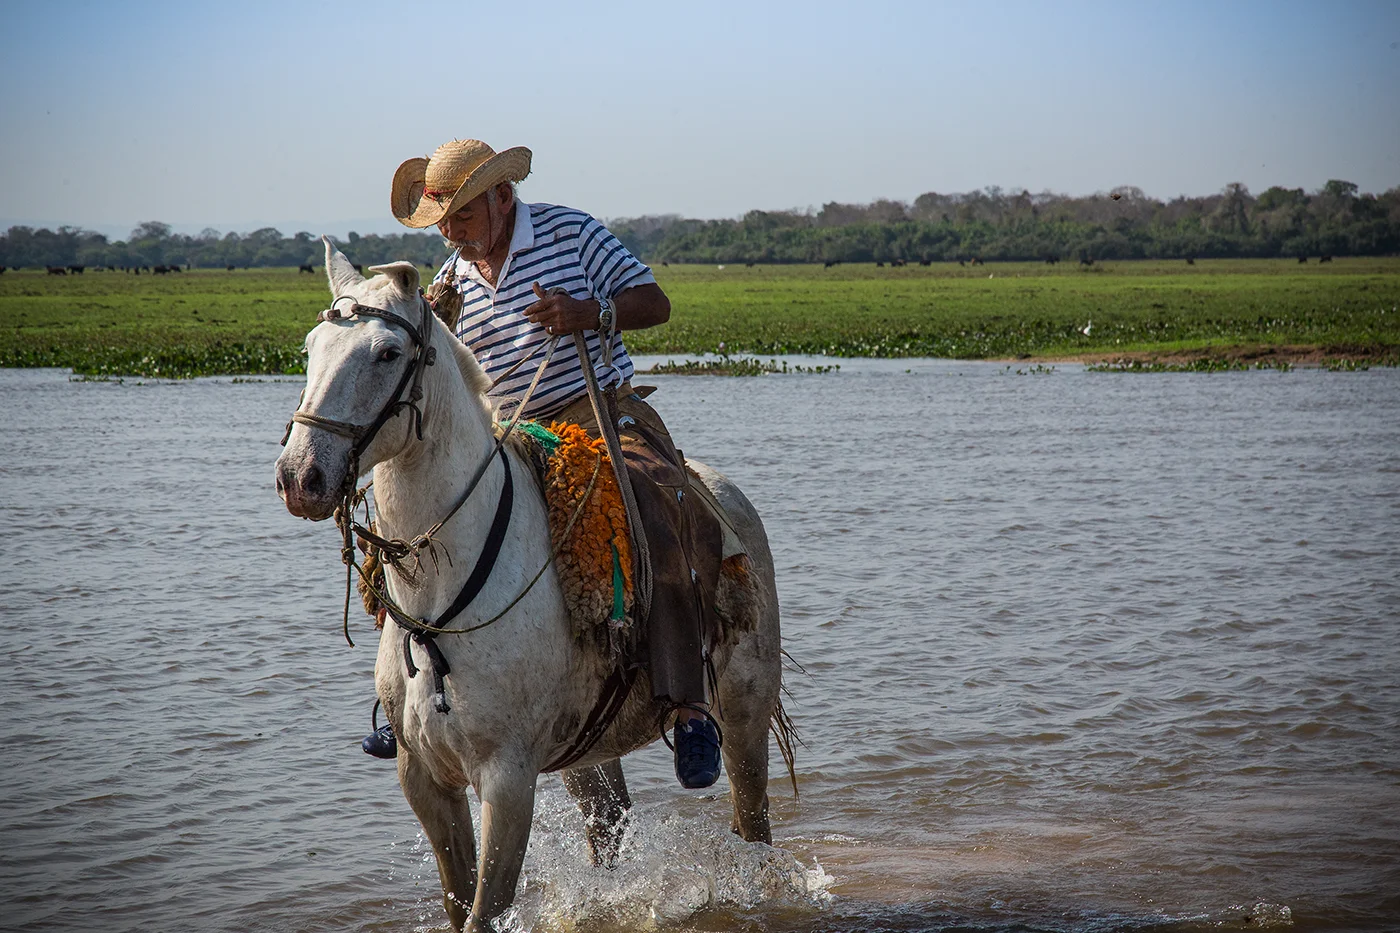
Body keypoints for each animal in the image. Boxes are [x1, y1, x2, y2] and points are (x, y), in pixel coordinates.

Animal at [275, 240, 789, 930]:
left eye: (386, 354)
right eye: (311, 347)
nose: (300, 477)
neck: (441, 601)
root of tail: (724, 494)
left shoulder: (508, 779)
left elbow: (484, 911)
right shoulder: (424, 780)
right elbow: (459, 900)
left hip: (744, 713)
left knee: (753, 822)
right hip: (588, 756)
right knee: (608, 830)